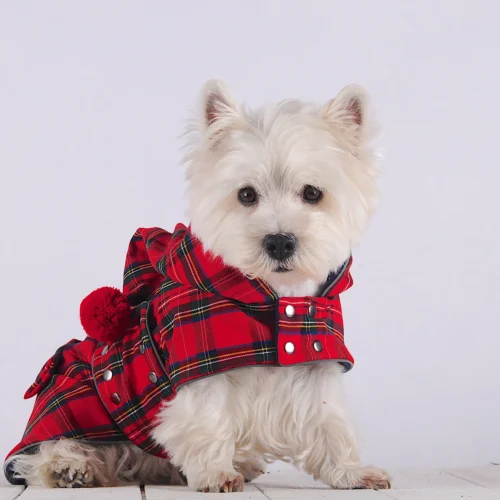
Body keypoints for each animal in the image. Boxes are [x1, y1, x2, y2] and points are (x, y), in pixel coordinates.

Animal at [9, 80, 388, 490]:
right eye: (246, 194)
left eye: (313, 193)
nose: (279, 242)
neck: (273, 296)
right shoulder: (199, 370)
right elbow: (207, 421)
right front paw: (216, 474)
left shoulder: (314, 362)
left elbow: (330, 423)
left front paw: (352, 472)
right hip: (79, 406)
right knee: (49, 450)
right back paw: (69, 466)